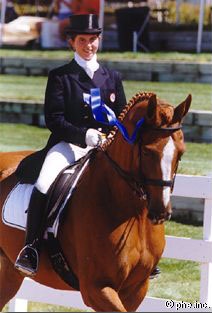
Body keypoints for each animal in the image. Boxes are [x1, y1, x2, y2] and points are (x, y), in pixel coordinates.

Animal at [0, 92, 191, 310]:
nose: (161, 212)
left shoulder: (137, 289)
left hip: (9, 272)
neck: (133, 214)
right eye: (147, 151)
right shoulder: (96, 289)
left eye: (181, 153)